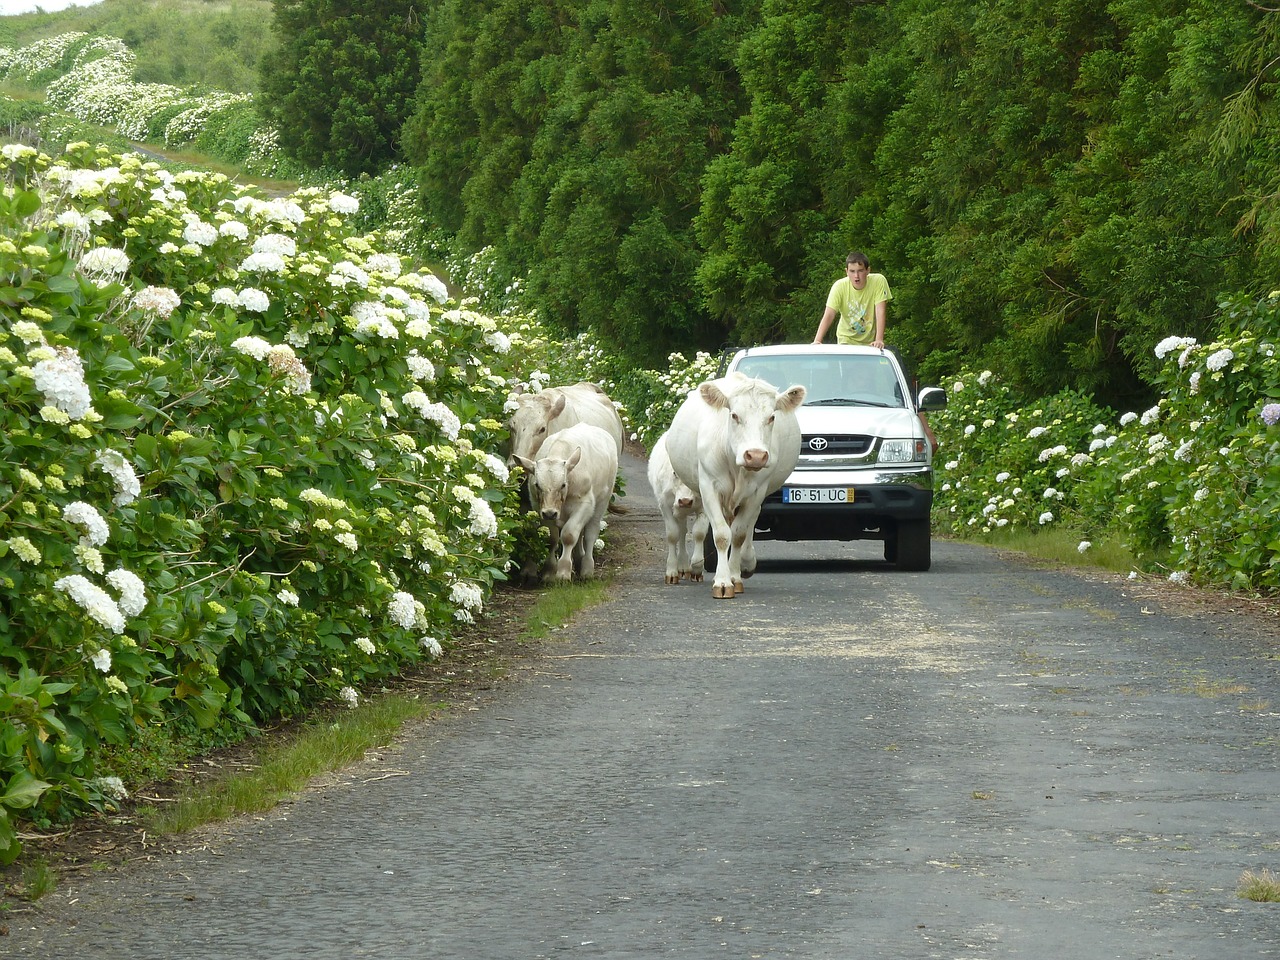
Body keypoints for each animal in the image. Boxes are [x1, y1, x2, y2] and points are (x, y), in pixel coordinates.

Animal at [517, 422, 622, 586]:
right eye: (537, 485)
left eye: (563, 484)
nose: (550, 513)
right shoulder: (540, 507)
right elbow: (552, 538)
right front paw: (549, 572)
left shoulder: (584, 505)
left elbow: (569, 535)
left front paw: (563, 572)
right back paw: (578, 562)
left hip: (602, 501)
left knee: (590, 533)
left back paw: (587, 569)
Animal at [650, 435, 711, 586]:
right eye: (675, 473)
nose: (685, 501)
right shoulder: (665, 505)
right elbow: (673, 535)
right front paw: (672, 571)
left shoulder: (704, 506)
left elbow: (699, 533)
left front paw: (697, 568)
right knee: (681, 533)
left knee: (683, 532)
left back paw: (684, 566)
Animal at [665, 371, 803, 599]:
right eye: (735, 416)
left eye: (771, 417)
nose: (755, 455)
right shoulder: (709, 487)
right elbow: (722, 535)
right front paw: (722, 582)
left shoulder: (757, 491)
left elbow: (738, 534)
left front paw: (734, 577)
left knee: (750, 522)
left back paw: (745, 563)